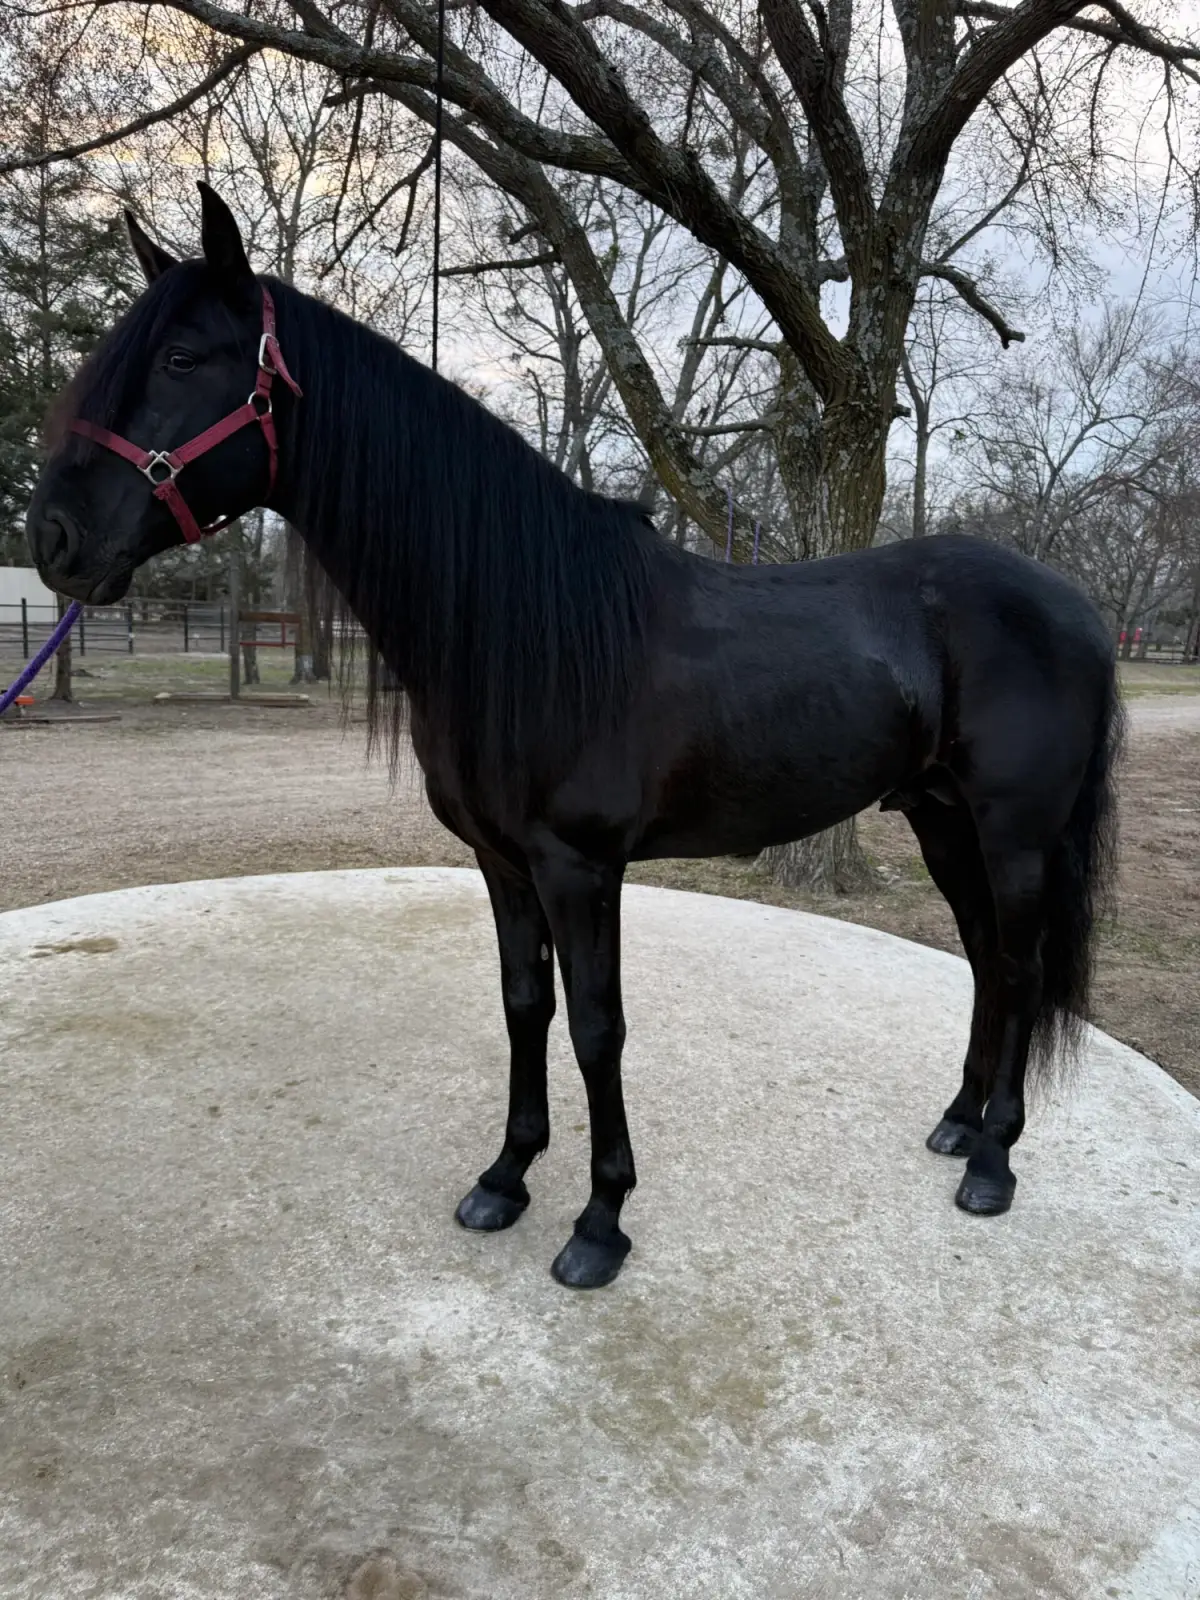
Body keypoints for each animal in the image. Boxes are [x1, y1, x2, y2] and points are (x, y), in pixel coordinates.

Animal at [27, 185, 1122, 1289]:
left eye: (180, 358)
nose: (54, 538)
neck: (526, 624)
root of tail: (1073, 600)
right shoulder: (504, 863)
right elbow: (525, 1004)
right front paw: (506, 1177)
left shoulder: (581, 865)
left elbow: (599, 1028)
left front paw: (601, 1221)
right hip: (943, 820)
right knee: (986, 961)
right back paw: (957, 1123)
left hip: (1014, 831)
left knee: (1021, 968)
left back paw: (993, 1162)